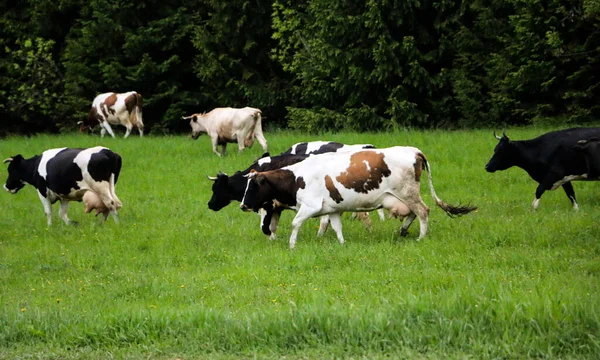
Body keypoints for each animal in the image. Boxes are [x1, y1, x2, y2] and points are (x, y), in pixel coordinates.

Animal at [237, 146, 476, 248]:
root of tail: (414, 150)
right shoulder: (332, 210)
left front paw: (292, 245)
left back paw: (421, 237)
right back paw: (402, 231)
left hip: (408, 193)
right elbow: (336, 228)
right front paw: (342, 244)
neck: (296, 177)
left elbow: (296, 223)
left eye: (253, 187)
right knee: (413, 214)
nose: (242, 206)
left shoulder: (310, 207)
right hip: (402, 197)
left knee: (423, 212)